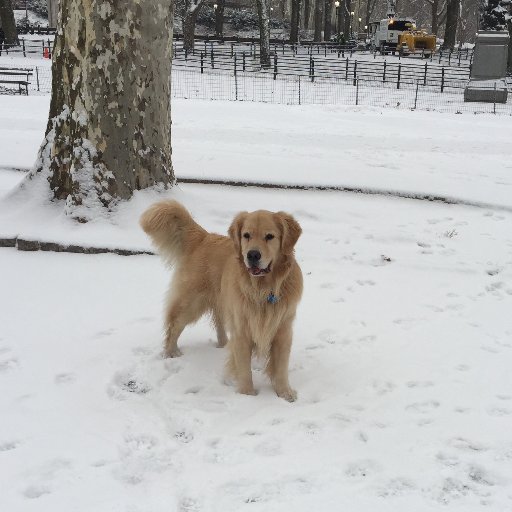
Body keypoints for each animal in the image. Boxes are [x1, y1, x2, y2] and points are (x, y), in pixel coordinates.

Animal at [140, 200, 302, 400]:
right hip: (191, 303)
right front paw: (247, 394)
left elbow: (280, 366)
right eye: (246, 235)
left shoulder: (283, 329)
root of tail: (204, 237)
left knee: (218, 322)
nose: (252, 255)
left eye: (269, 236)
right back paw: (171, 352)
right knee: (174, 326)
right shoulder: (242, 330)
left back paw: (223, 344)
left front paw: (285, 392)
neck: (264, 288)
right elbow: (244, 368)